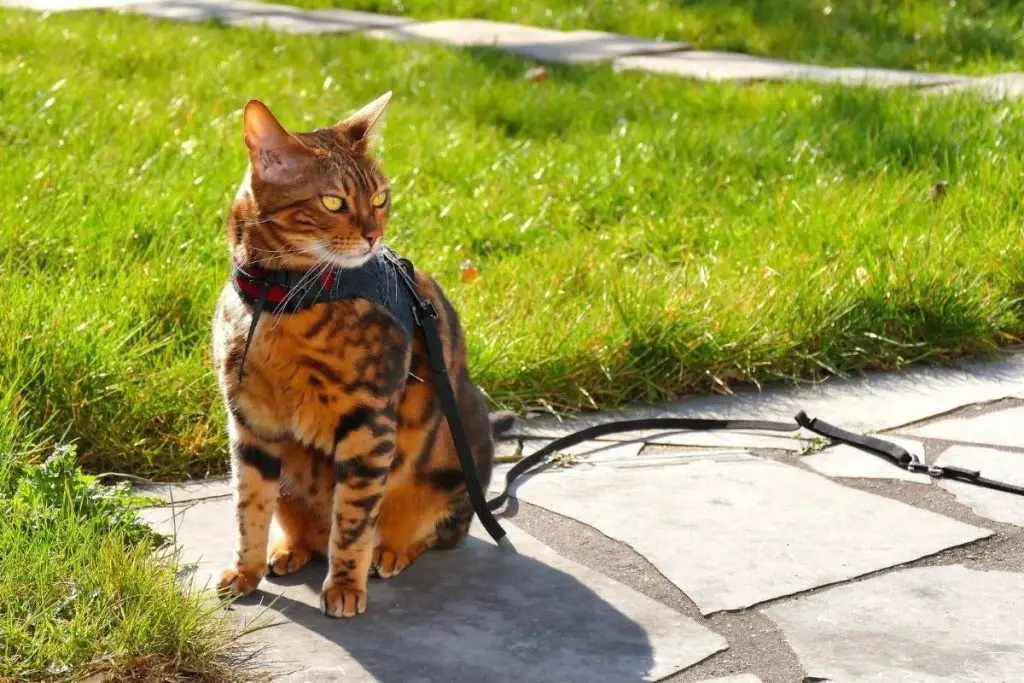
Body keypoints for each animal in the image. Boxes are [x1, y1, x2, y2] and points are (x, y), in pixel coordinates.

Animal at [211, 92, 507, 618]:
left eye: (380, 198)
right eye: (333, 201)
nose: (373, 235)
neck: (282, 297)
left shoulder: (368, 426)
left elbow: (351, 521)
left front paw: (345, 585)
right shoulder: (250, 423)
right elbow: (249, 509)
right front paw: (245, 572)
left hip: (459, 451)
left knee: (442, 530)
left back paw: (390, 553)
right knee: (304, 527)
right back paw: (290, 548)